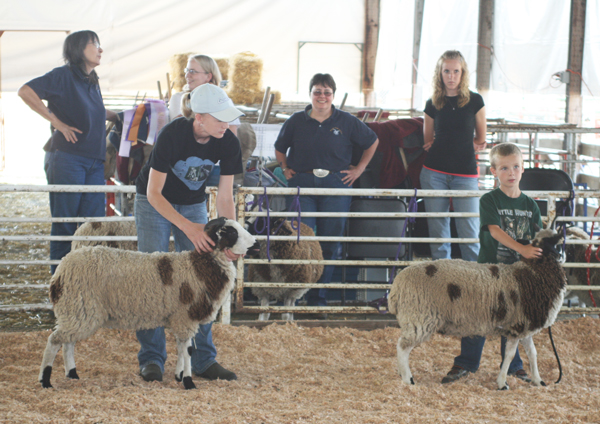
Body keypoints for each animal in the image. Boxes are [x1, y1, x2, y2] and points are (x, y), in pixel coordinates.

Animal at [39, 218, 256, 390]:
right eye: (231, 232)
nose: (254, 241)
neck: (200, 267)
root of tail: (61, 271)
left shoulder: (180, 318)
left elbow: (181, 349)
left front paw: (179, 376)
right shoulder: (185, 317)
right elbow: (187, 351)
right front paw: (188, 382)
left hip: (77, 310)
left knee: (68, 342)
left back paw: (72, 374)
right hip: (80, 309)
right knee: (54, 341)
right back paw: (45, 381)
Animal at [388, 229, 566, 390]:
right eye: (554, 242)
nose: (562, 255)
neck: (533, 273)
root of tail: (396, 286)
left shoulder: (524, 326)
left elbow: (532, 353)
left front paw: (538, 381)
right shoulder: (516, 327)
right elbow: (509, 356)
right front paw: (502, 383)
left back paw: (401, 374)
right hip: (419, 317)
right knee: (402, 347)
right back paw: (407, 379)